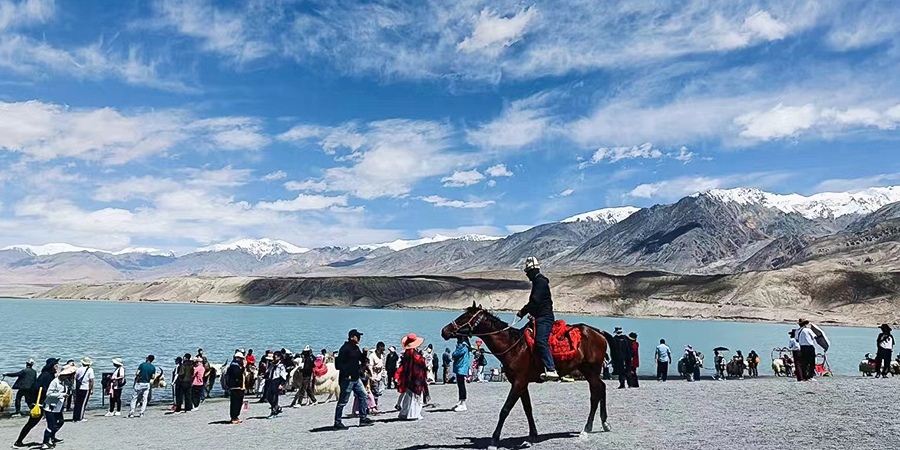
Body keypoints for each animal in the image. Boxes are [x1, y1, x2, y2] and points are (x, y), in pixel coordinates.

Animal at [442, 302, 620, 450]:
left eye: (464, 317)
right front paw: (532, 436)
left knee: (596, 393)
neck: (512, 346)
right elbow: (528, 409)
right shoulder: (522, 383)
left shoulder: (518, 383)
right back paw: (603, 423)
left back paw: (587, 429)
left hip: (591, 370)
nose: (444, 331)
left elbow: (505, 409)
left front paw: (494, 440)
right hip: (588, 371)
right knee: (600, 389)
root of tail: (598, 332)